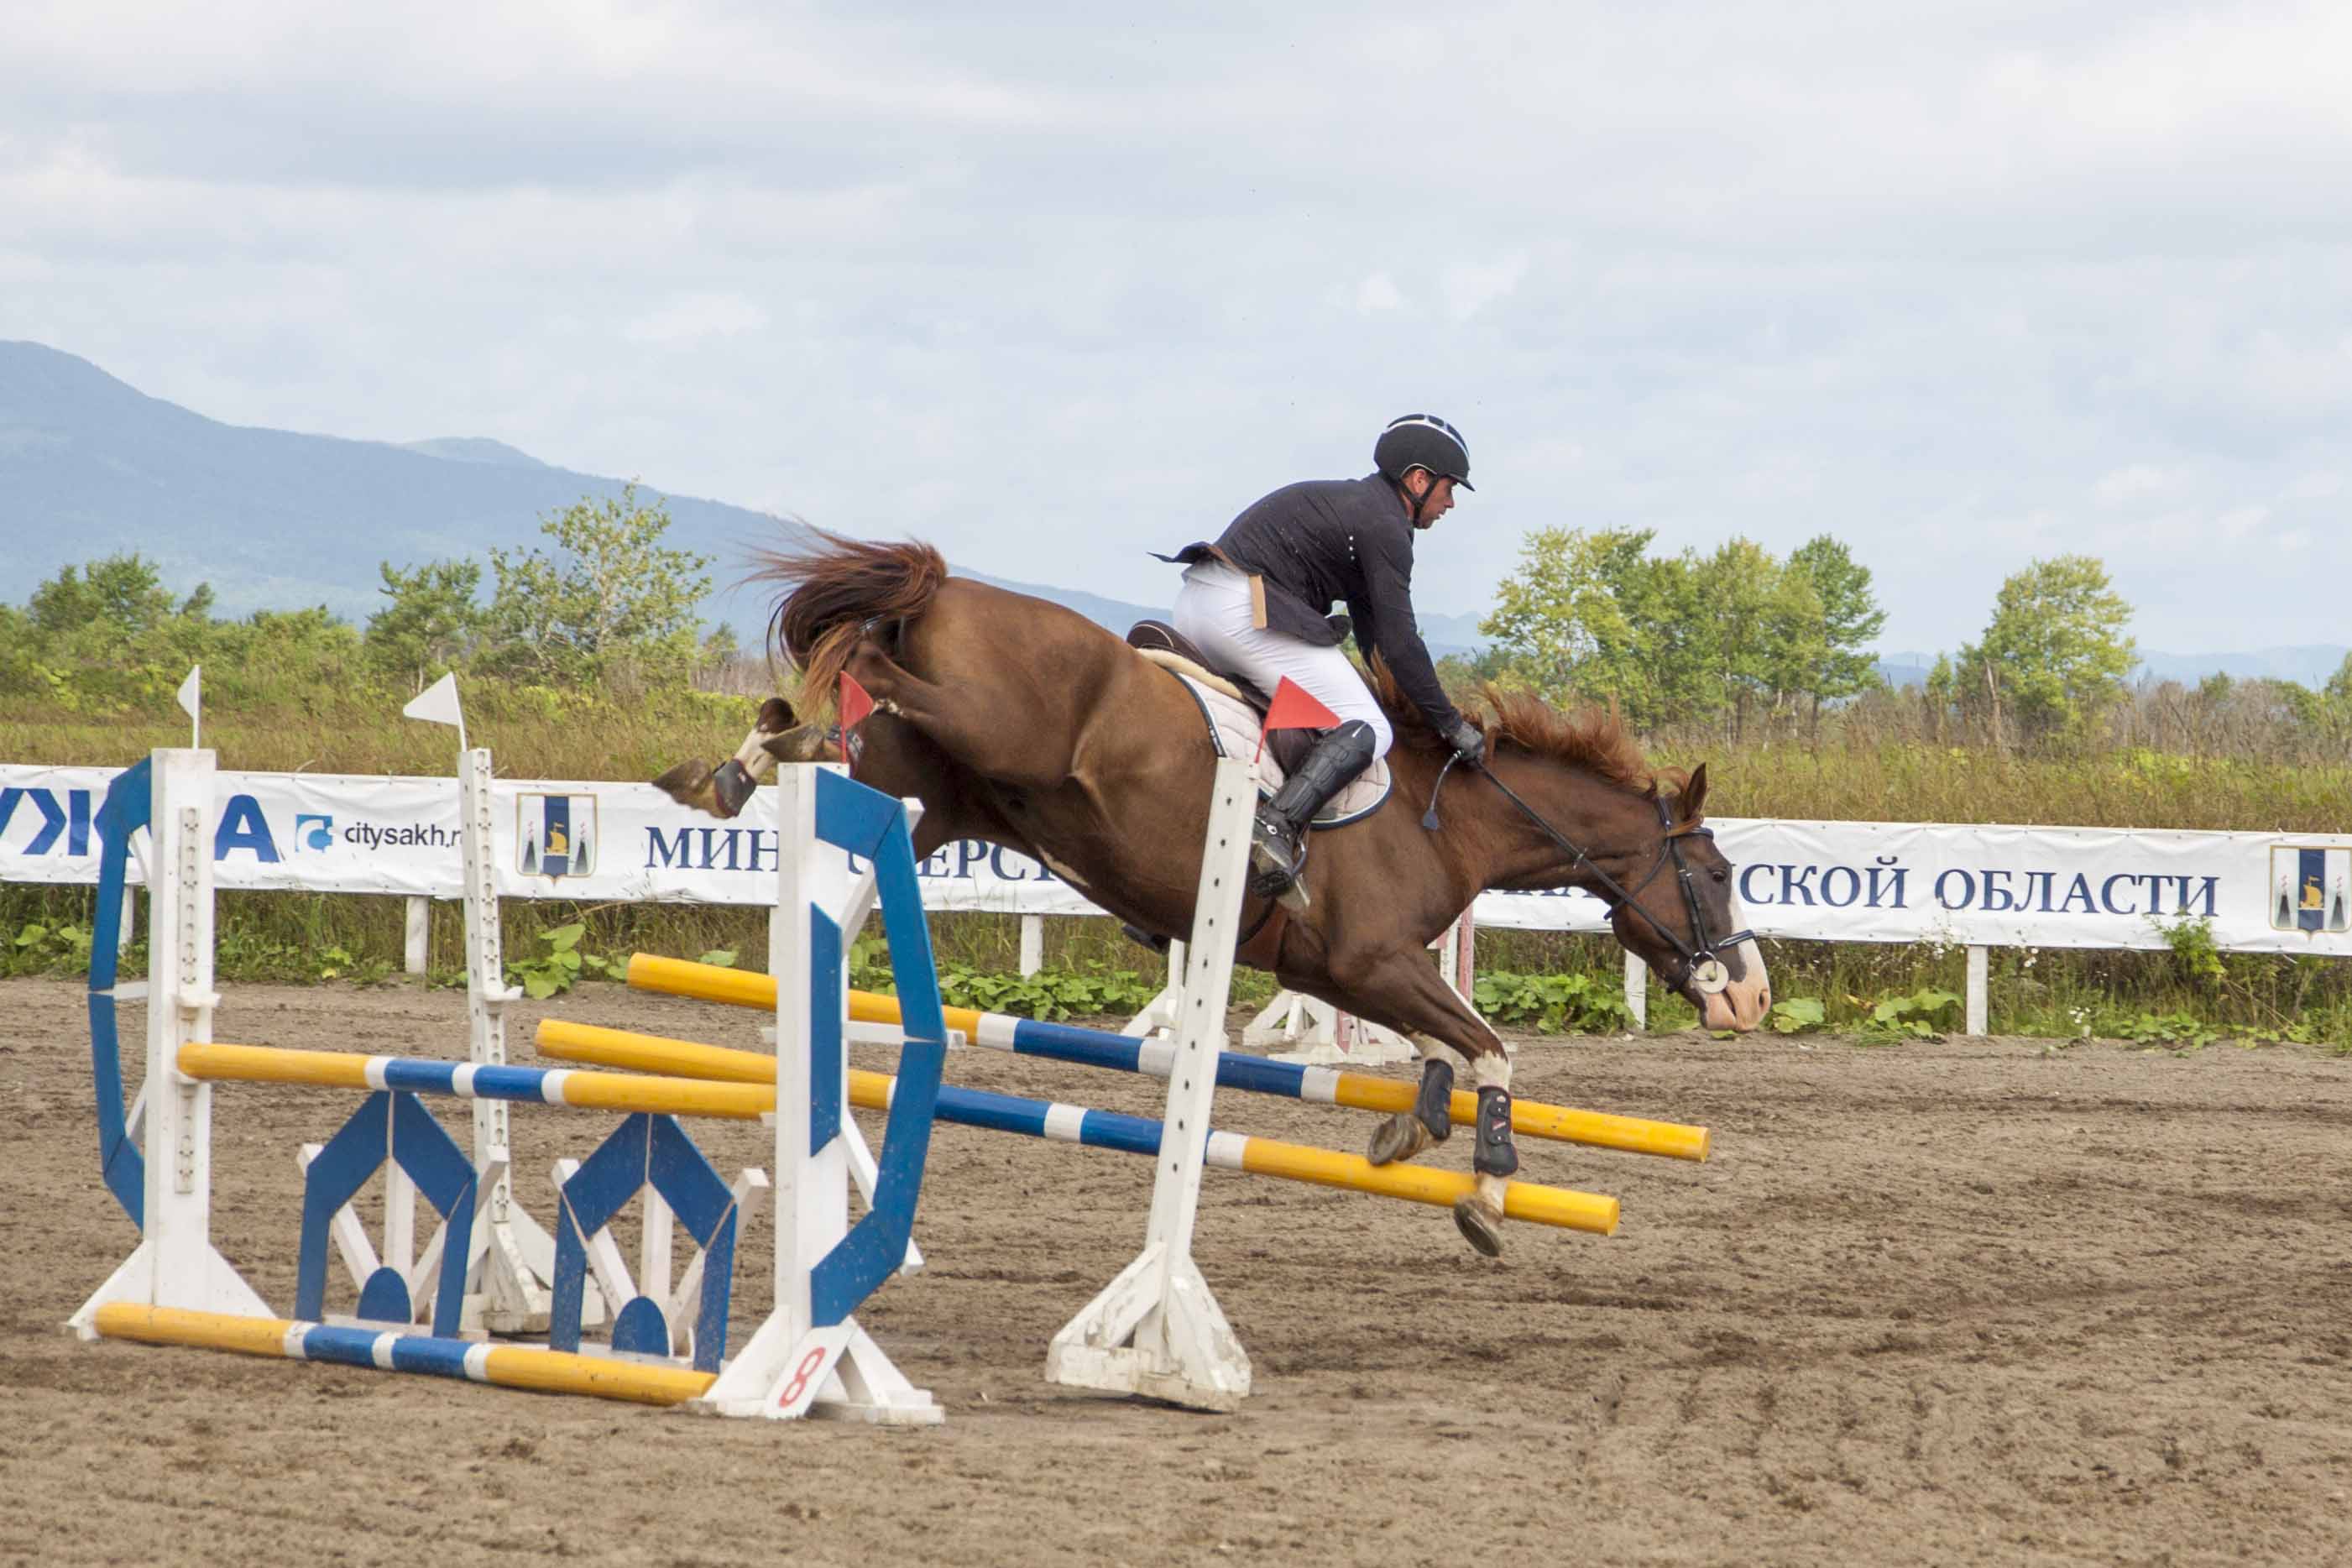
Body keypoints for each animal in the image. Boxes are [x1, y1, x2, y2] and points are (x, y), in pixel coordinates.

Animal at [663, 533, 1769, 1260]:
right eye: (1718, 874)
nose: (1752, 996)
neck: (1446, 813)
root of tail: (947, 588)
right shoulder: (1372, 959)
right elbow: (1493, 1047)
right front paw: (1488, 1192)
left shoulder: (1339, 969)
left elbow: (1445, 1043)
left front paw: (1412, 1127)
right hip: (980, 728)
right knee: (865, 666)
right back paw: (755, 753)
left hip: (936, 791)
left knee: (832, 729)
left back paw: (733, 769)